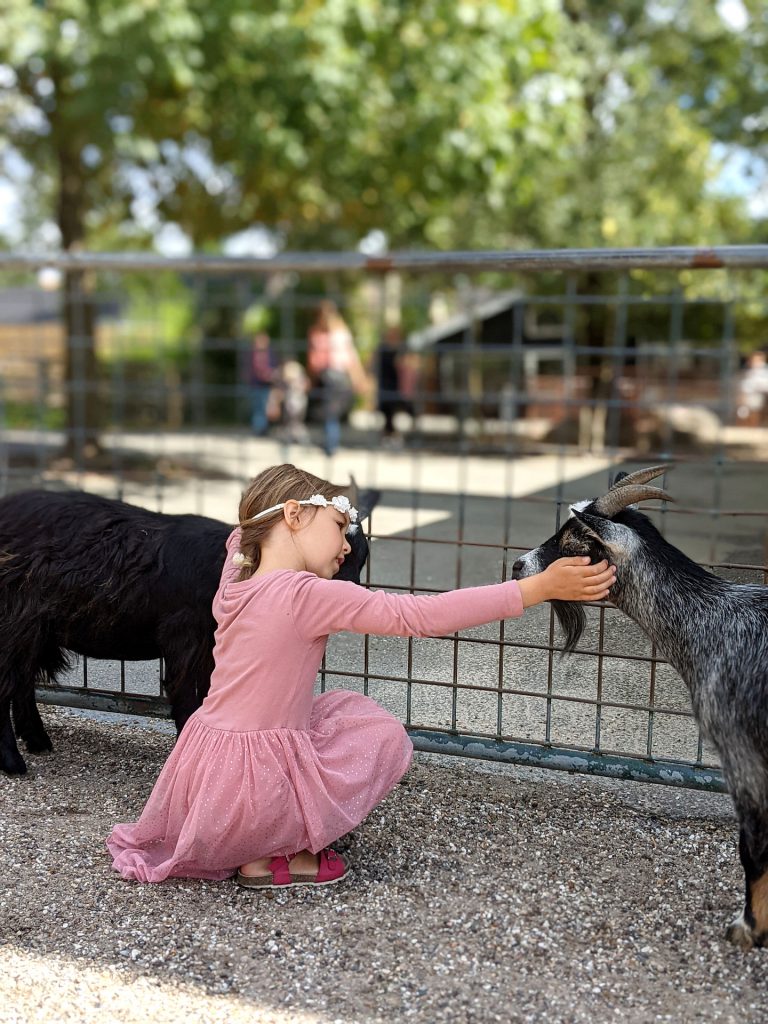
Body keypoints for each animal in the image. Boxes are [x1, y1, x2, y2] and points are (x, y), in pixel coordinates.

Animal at [0, 483, 378, 770]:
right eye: (342, 552)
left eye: (361, 557)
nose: (352, 595)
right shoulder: (184, 637)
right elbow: (184, 695)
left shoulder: (211, 645)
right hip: (15, 623)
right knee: (8, 683)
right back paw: (14, 763)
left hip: (33, 632)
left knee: (22, 681)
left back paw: (37, 740)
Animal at [512, 466, 768, 950]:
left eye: (574, 540)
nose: (518, 565)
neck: (713, 622)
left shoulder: (743, 753)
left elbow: (752, 846)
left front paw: (748, 928)